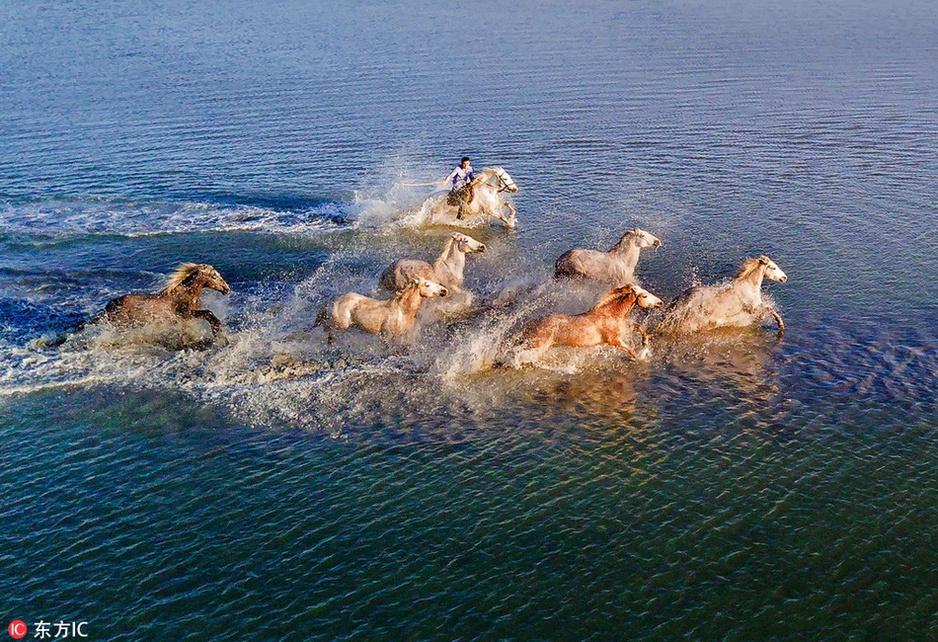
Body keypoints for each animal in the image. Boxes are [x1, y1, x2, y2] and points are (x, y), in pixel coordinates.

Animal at [99, 262, 232, 348]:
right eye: (214, 276)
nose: (227, 289)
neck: (185, 294)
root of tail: (108, 307)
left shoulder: (185, 319)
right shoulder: (185, 314)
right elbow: (208, 313)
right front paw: (218, 333)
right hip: (124, 325)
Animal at [504, 284, 664, 368]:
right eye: (644, 296)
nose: (660, 303)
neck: (610, 314)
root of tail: (533, 322)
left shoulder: (623, 330)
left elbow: (639, 327)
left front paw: (645, 342)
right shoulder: (614, 340)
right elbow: (631, 350)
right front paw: (641, 357)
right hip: (536, 343)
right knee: (517, 350)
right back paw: (515, 364)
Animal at [656, 254, 788, 338]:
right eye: (773, 267)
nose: (784, 277)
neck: (749, 286)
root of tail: (682, 296)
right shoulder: (753, 308)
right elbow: (770, 309)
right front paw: (780, 324)